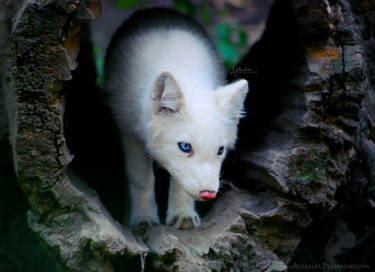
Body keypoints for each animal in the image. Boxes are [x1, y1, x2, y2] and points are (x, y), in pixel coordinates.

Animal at [104, 8, 250, 228]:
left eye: (220, 150)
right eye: (185, 147)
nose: (208, 194)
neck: (180, 67)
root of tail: (158, 9)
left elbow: (179, 182)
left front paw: (183, 215)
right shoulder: (129, 131)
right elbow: (140, 178)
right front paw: (143, 219)